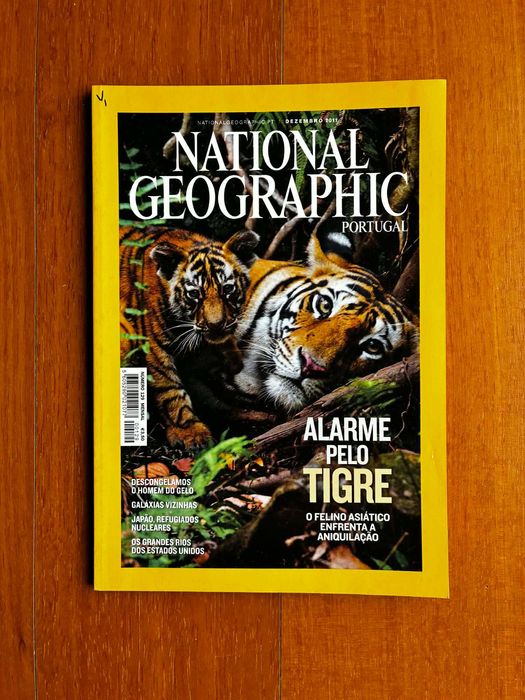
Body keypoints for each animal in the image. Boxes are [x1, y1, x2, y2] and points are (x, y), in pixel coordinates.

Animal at [120, 225, 259, 447]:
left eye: (228, 288)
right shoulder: (155, 347)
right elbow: (170, 390)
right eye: (194, 294)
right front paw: (191, 432)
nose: (215, 325)